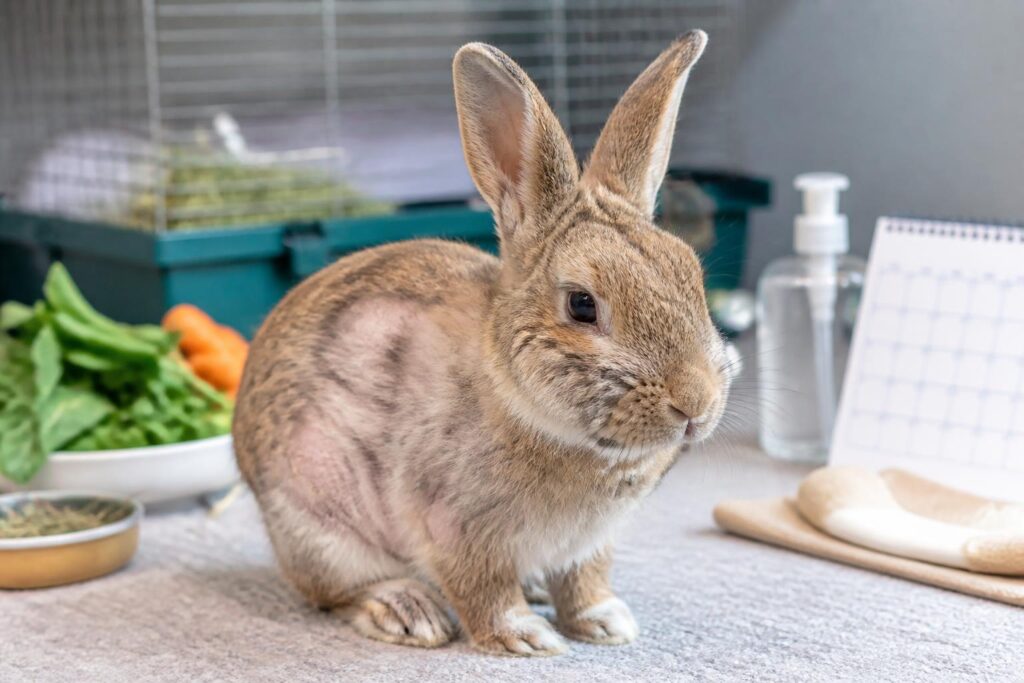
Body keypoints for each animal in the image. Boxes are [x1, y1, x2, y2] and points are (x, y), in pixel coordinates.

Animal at [233, 29, 731, 657]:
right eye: (582, 305)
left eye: (692, 275)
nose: (696, 404)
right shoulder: (455, 527)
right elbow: (484, 589)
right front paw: (526, 638)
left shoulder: (590, 545)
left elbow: (585, 581)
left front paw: (606, 623)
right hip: (317, 529)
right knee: (337, 590)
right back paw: (408, 612)